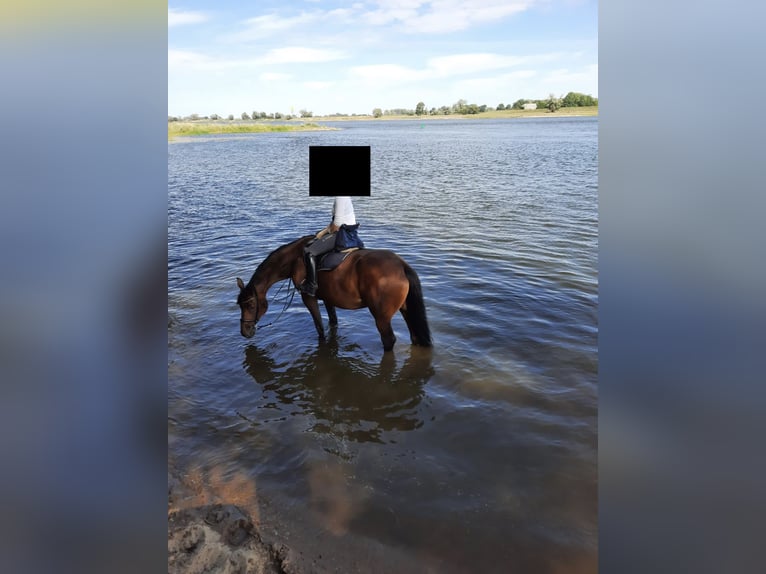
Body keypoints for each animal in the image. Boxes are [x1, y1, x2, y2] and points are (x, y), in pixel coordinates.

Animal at [236, 235, 432, 351]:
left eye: (251, 304)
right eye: (239, 305)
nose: (244, 332)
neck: (295, 259)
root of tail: (401, 265)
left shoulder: (309, 298)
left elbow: (320, 328)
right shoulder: (328, 298)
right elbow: (333, 322)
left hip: (382, 318)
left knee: (388, 340)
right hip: (406, 309)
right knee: (414, 335)